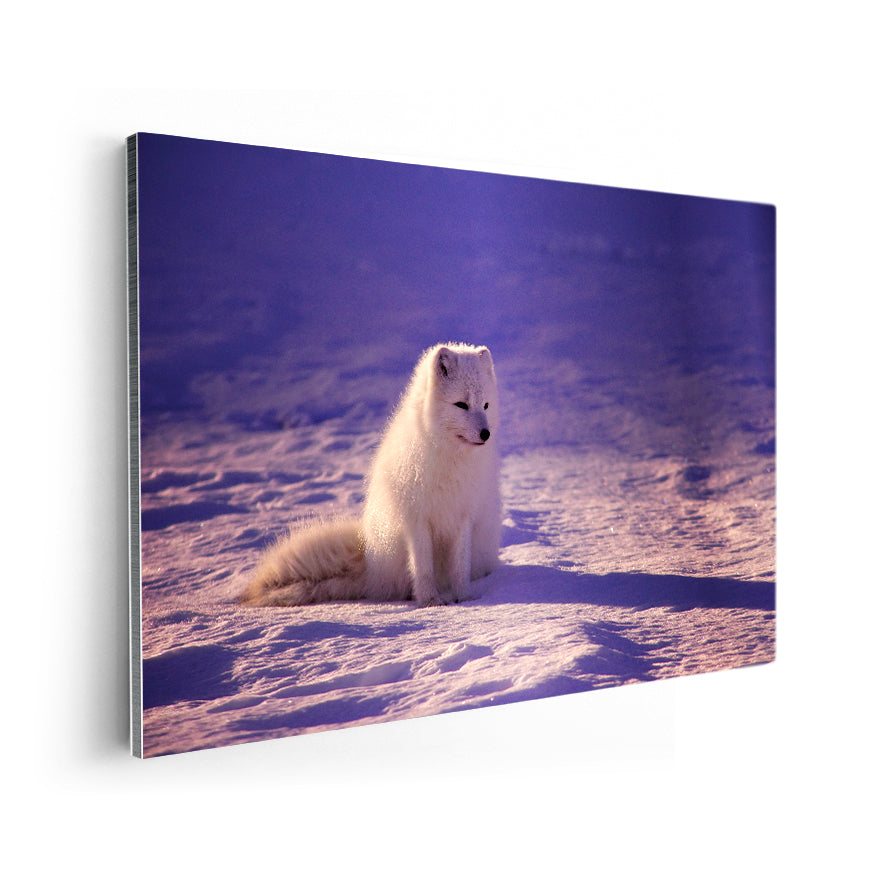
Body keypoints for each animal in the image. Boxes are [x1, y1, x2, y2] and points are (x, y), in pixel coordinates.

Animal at [239, 342, 502, 608]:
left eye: (486, 405)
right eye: (461, 404)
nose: (486, 434)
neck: (451, 458)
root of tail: (371, 564)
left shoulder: (464, 516)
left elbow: (460, 566)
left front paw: (464, 598)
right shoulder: (416, 519)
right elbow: (422, 568)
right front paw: (430, 601)